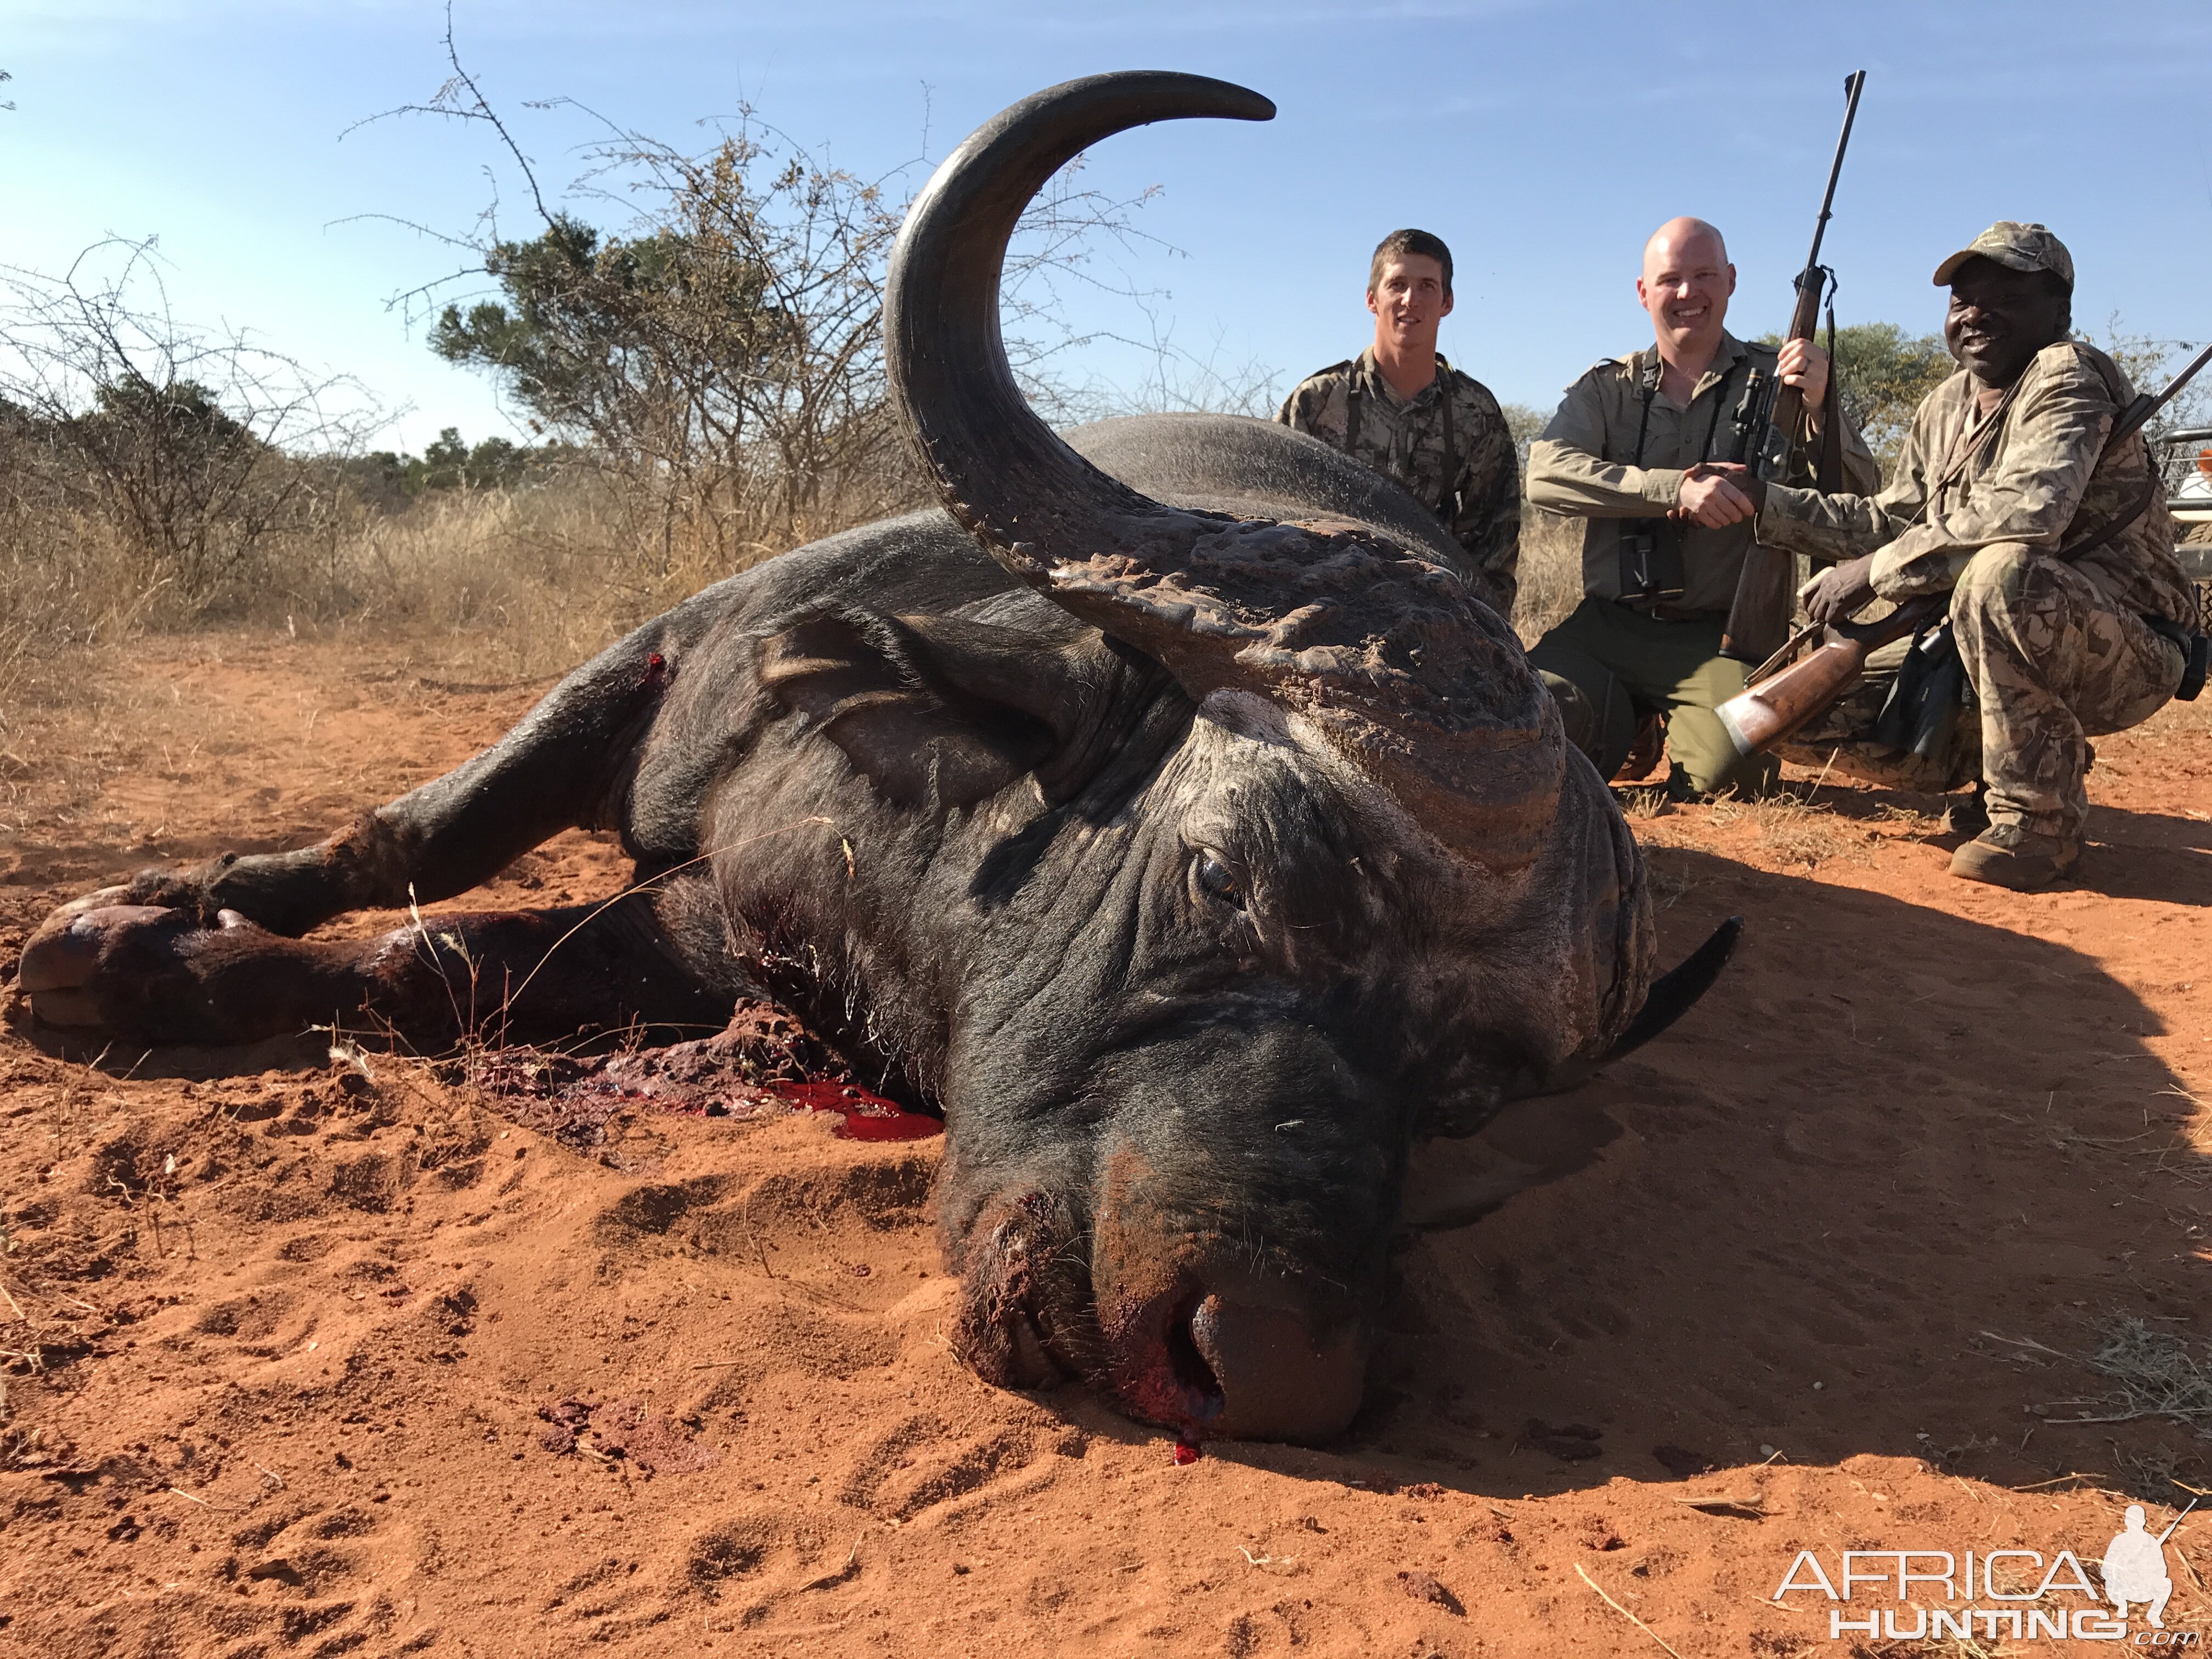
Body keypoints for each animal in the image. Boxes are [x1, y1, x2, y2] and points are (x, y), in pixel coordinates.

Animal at [21, 75, 1743, 1442]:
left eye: (1468, 1092)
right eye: (1222, 875)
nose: (1258, 1364)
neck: (914, 872)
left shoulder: (713, 937)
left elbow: (449, 963)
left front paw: (177, 959)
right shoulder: (653, 664)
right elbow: (419, 845)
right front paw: (147, 922)